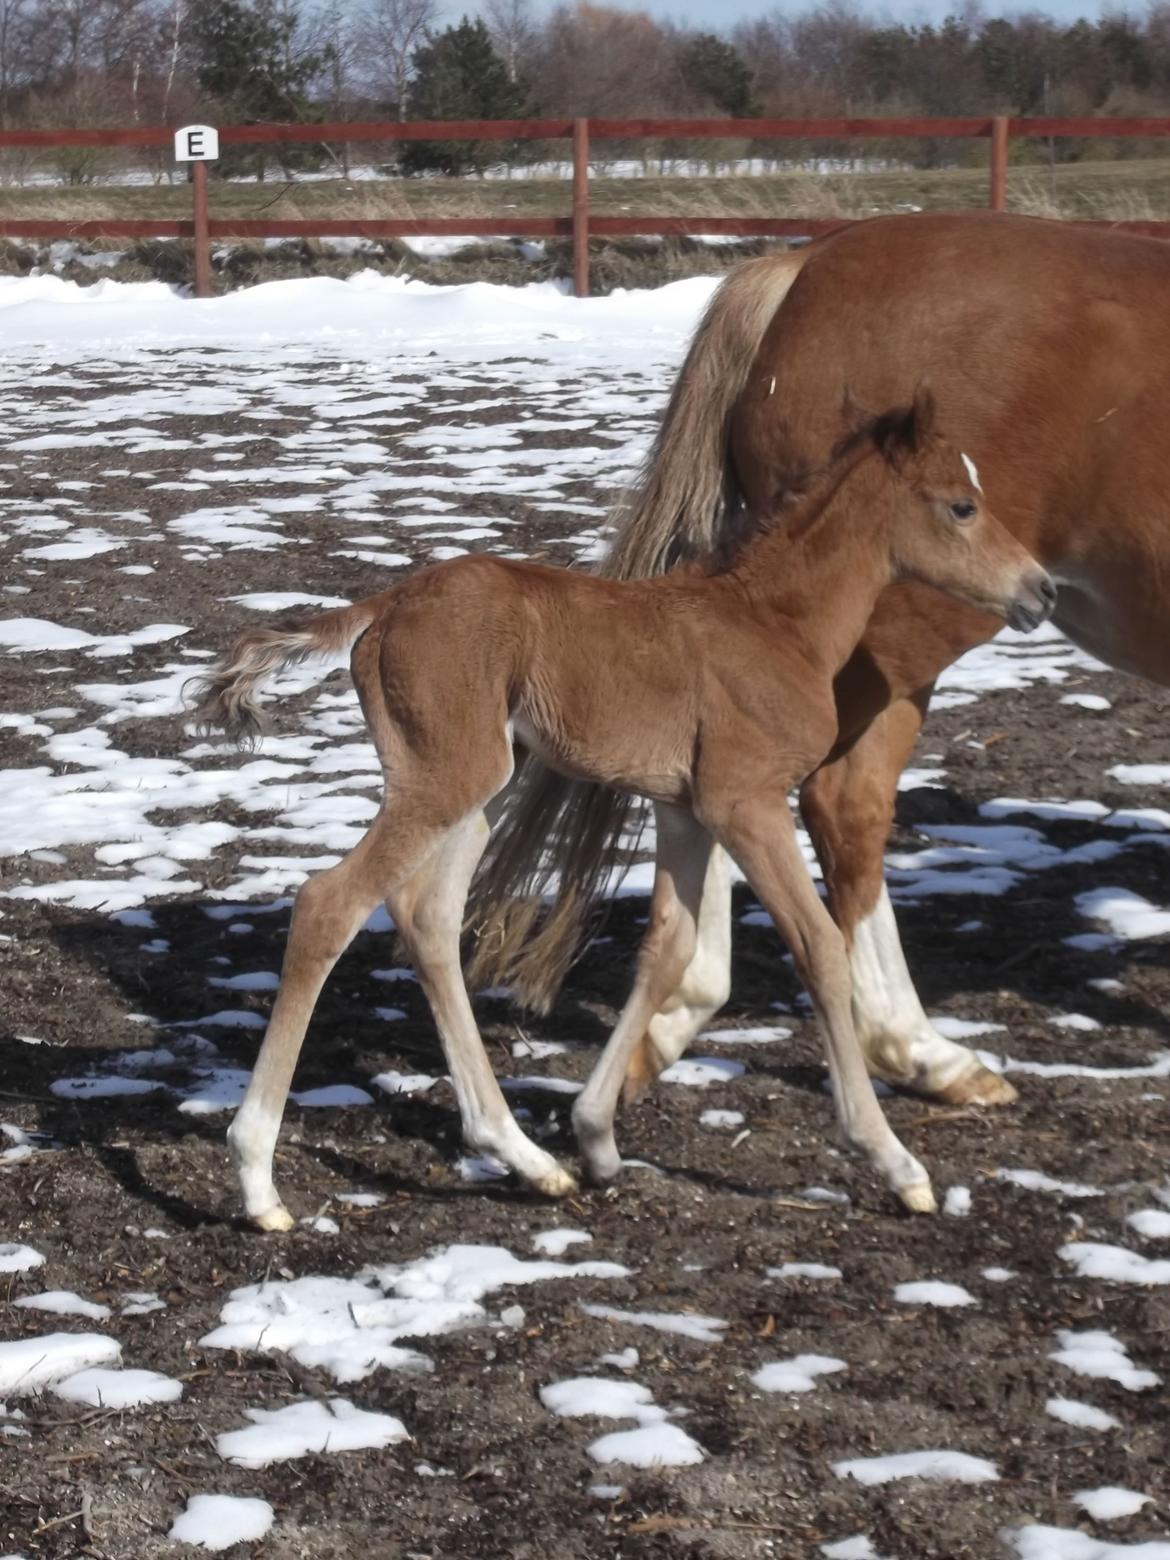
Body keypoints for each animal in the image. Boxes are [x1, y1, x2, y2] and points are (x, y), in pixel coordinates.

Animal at [192, 396, 1054, 1235]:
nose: (1041, 589)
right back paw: (258, 1180)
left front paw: (597, 1136)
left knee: (426, 915)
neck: (776, 625)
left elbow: (667, 950)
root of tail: (384, 604)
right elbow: (819, 947)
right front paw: (895, 1162)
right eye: (962, 505)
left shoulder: (685, 809)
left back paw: (524, 1157)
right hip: (446, 777)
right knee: (330, 904)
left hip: (481, 785)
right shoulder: (746, 800)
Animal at [471, 210, 1170, 1110]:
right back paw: (917, 1048)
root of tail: (802, 268)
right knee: (843, 804)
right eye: (960, 504)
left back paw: (672, 1015)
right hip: (905, 638)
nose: (1042, 591)